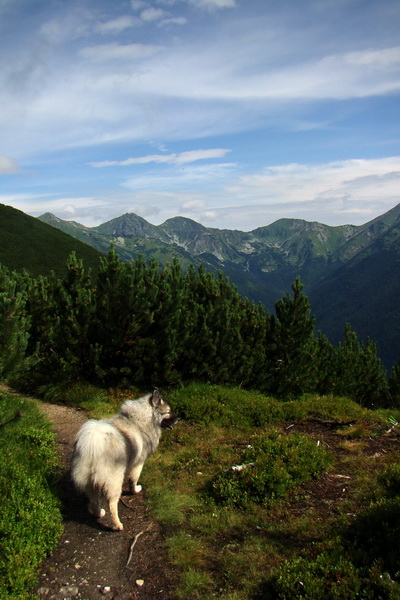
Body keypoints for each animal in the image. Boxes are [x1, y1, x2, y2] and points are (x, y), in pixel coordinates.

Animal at [71, 390, 177, 528]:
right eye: (168, 412)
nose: (178, 418)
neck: (138, 421)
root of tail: (94, 443)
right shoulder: (139, 463)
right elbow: (133, 479)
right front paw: (135, 490)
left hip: (89, 482)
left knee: (94, 501)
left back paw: (99, 513)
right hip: (114, 481)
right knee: (112, 504)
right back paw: (117, 525)